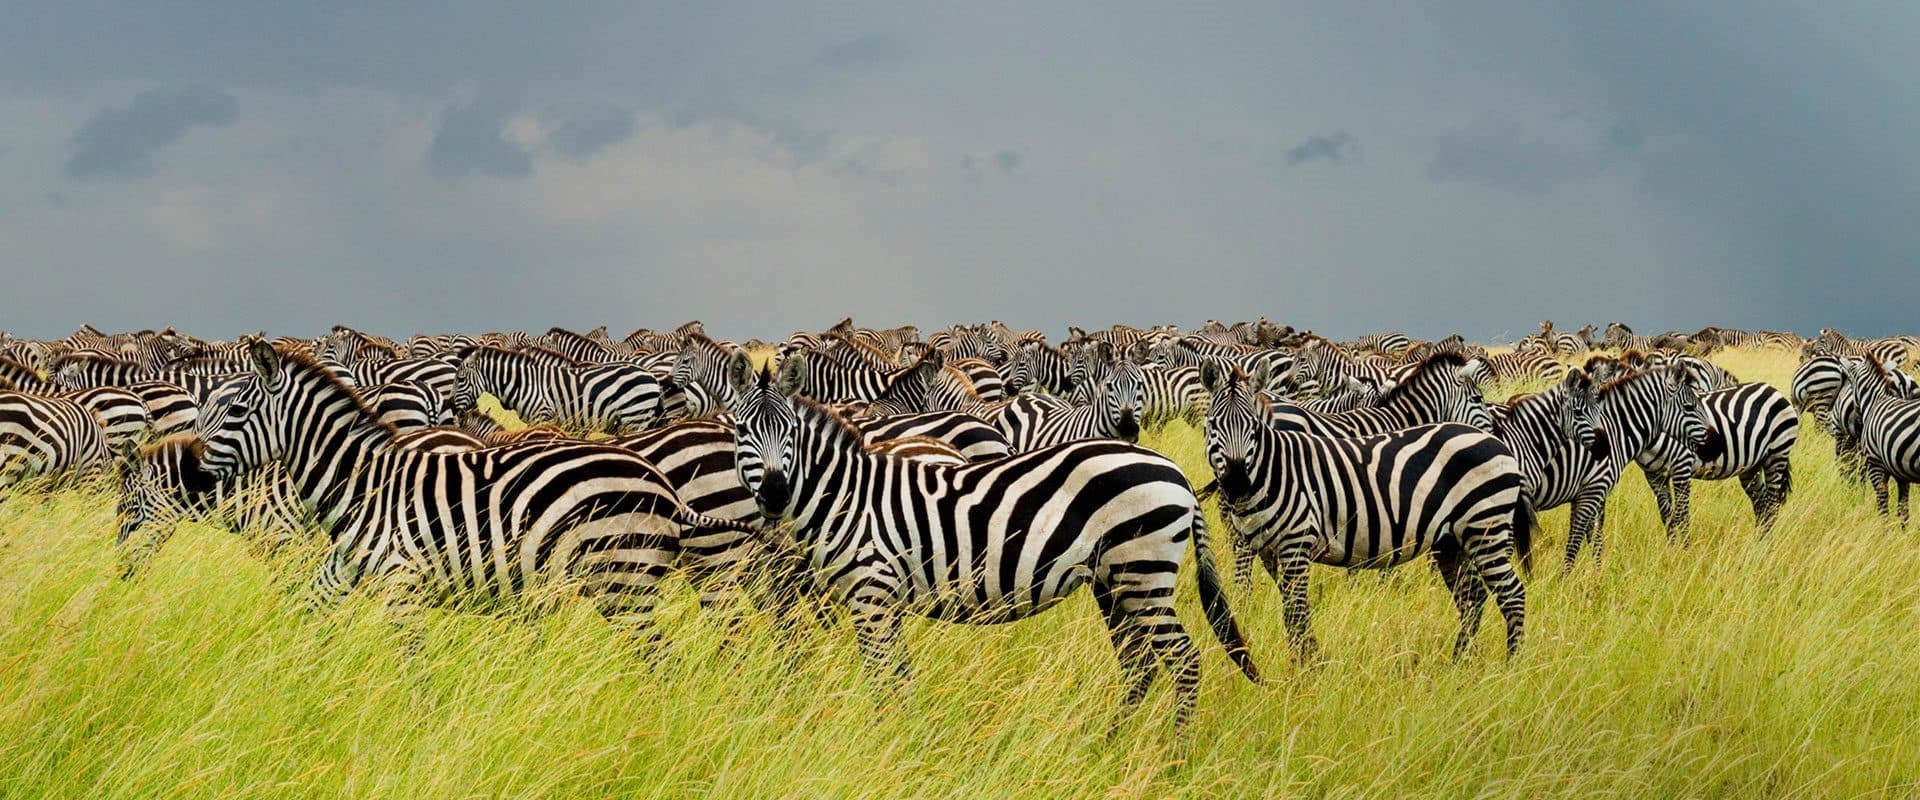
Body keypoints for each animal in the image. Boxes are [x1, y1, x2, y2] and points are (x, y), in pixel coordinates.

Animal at [191, 340, 755, 649]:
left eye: (235, 412)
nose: (192, 476)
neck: (364, 484)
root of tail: (661, 486)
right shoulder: (342, 568)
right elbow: (306, 614)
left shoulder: (403, 586)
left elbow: (413, 664)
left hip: (625, 582)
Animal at [725, 351, 1260, 733]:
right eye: (745, 432)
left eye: (789, 432)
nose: (774, 494)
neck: (848, 498)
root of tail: (1176, 473)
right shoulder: (882, 602)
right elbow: (899, 677)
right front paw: (907, 738)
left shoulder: (871, 597)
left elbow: (882, 679)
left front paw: (884, 740)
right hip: (1114, 583)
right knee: (1138, 663)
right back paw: (1110, 743)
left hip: (1142, 575)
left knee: (1184, 662)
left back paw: (1174, 754)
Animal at [1198, 361, 1531, 661]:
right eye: (1212, 425)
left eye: (1253, 427)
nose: (1236, 482)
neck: (1276, 469)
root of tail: (1496, 445)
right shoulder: (1272, 550)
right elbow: (1295, 609)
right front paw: (1309, 663)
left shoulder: (1297, 544)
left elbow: (1295, 612)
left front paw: (1305, 669)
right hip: (1453, 540)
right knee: (1473, 596)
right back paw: (1461, 662)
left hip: (1484, 529)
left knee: (1511, 594)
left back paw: (1510, 666)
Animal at [1635, 382, 1798, 540]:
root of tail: (1773, 389)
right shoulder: (1653, 474)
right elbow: (1667, 518)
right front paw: (1671, 547)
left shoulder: (1682, 465)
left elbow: (1682, 517)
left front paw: (1684, 548)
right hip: (1752, 467)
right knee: (1761, 505)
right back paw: (1760, 543)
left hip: (1777, 454)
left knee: (1772, 506)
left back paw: (1766, 546)